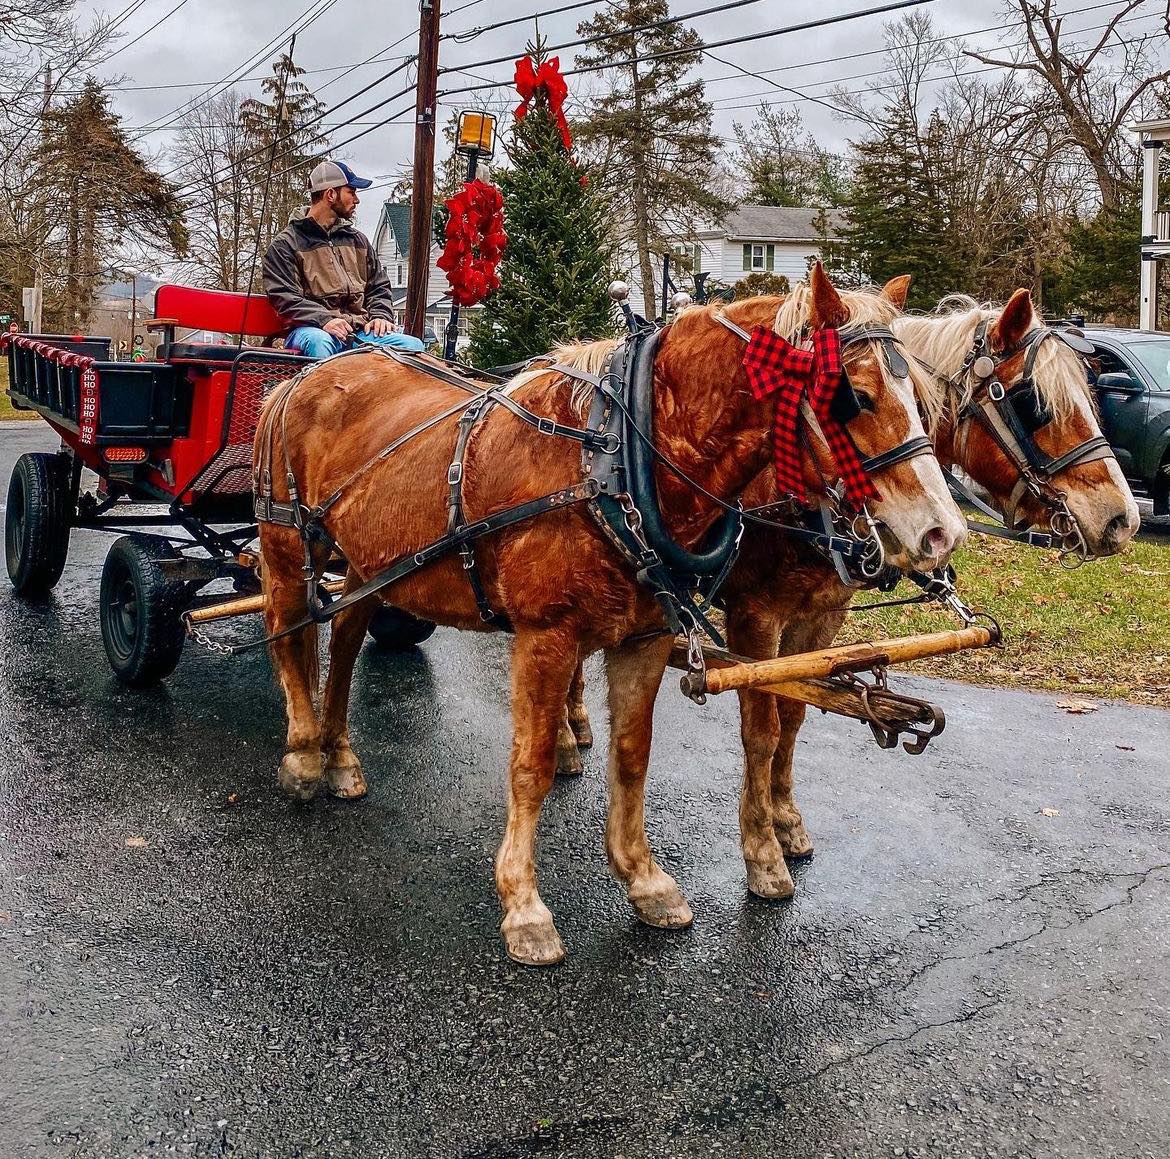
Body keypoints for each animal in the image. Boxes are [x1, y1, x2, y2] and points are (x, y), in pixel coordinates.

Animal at [255, 263, 967, 965]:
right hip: (289, 547)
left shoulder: (647, 636)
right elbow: (532, 764)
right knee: (287, 637)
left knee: (346, 636)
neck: (619, 459)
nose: (943, 532)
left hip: (369, 565)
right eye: (856, 397)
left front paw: (643, 878)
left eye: (924, 400)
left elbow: (633, 753)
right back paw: (304, 753)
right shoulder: (550, 637)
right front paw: (524, 905)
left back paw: (341, 754)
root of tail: (308, 375)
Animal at [564, 281, 1140, 901]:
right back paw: (569, 734)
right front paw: (762, 852)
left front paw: (788, 823)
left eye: (1092, 395)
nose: (1122, 519)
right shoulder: (754, 617)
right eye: (1034, 402)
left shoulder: (821, 615)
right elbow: (761, 729)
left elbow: (793, 718)